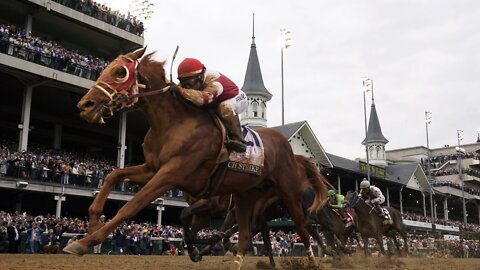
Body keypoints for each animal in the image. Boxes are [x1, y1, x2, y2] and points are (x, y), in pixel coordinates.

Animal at [62, 48, 326, 270]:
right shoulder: (153, 168)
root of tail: (290, 149)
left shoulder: (171, 174)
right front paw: (93, 221)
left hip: (288, 193)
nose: (85, 105)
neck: (174, 124)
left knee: (303, 228)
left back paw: (314, 261)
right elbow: (113, 175)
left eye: (119, 72)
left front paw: (85, 241)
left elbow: (131, 206)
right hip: (245, 196)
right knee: (245, 234)